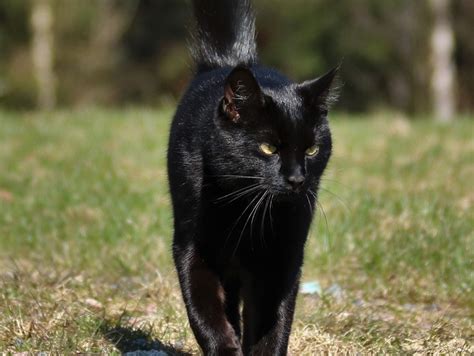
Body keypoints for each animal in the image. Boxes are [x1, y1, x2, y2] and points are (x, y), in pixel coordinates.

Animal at [167, 1, 336, 354]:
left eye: (312, 149)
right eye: (268, 147)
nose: (297, 178)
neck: (243, 211)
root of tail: (231, 62)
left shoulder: (283, 257)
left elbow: (273, 323)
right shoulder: (192, 248)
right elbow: (203, 309)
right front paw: (224, 346)